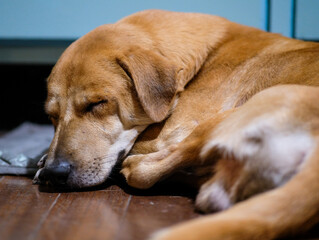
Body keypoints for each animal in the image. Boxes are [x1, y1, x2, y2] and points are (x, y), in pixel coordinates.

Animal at [33, 9, 319, 240]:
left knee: (146, 170)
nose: (55, 173)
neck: (206, 56)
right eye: (51, 115)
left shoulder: (171, 132)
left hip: (236, 113)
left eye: (97, 103)